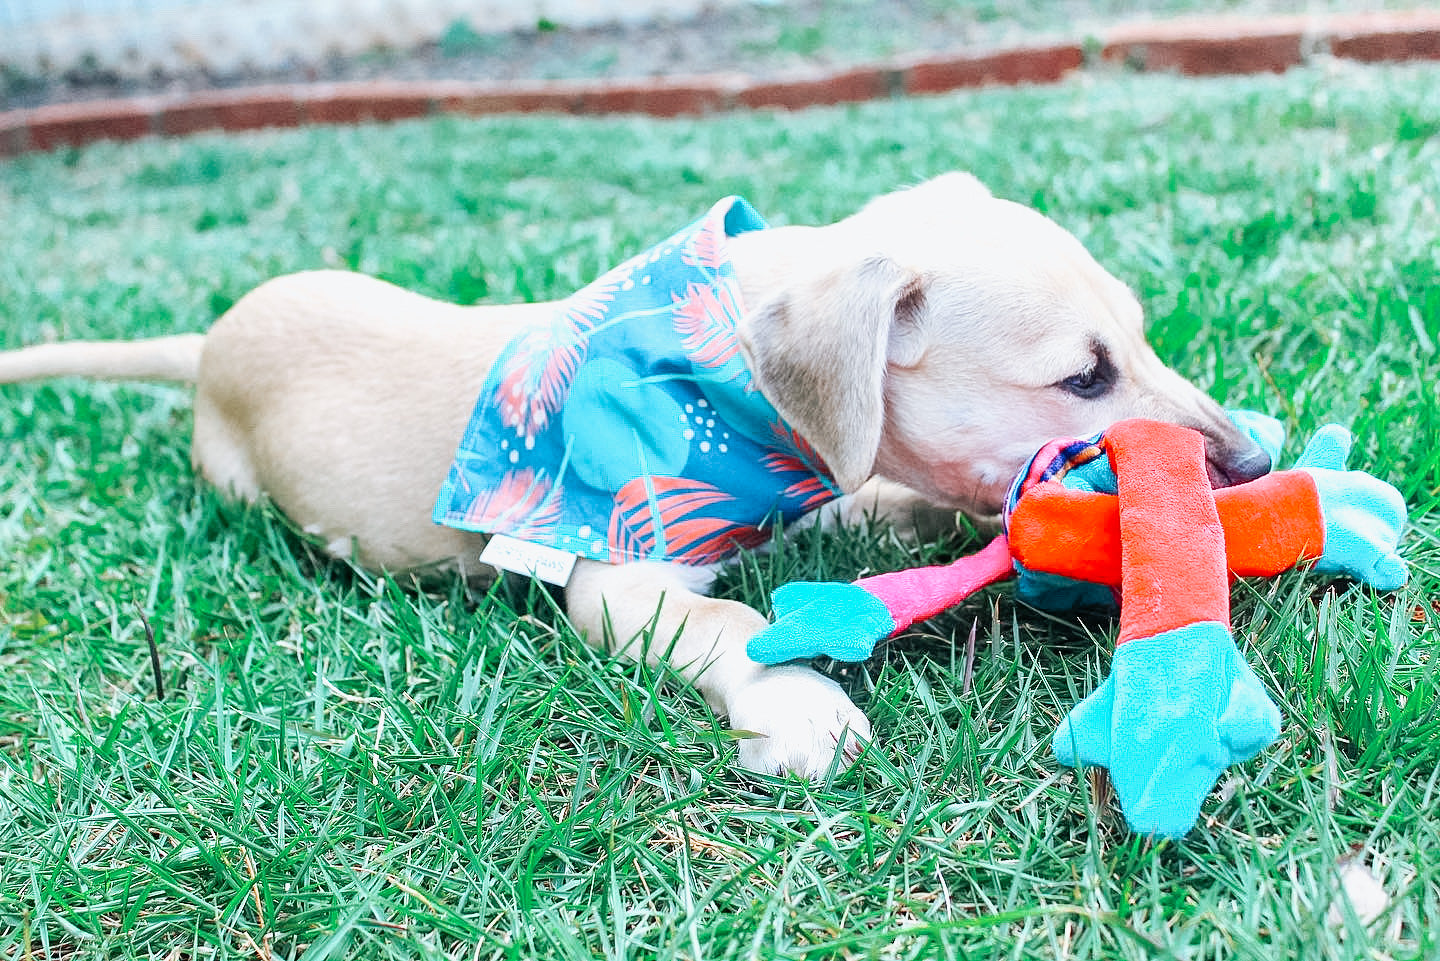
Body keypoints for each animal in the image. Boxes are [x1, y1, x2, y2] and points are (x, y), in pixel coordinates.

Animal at [0, 175, 1267, 783]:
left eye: (1139, 335)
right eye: (1082, 374)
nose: (1258, 463)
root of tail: (210, 341)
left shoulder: (835, 467)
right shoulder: (619, 567)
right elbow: (724, 624)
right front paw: (797, 701)